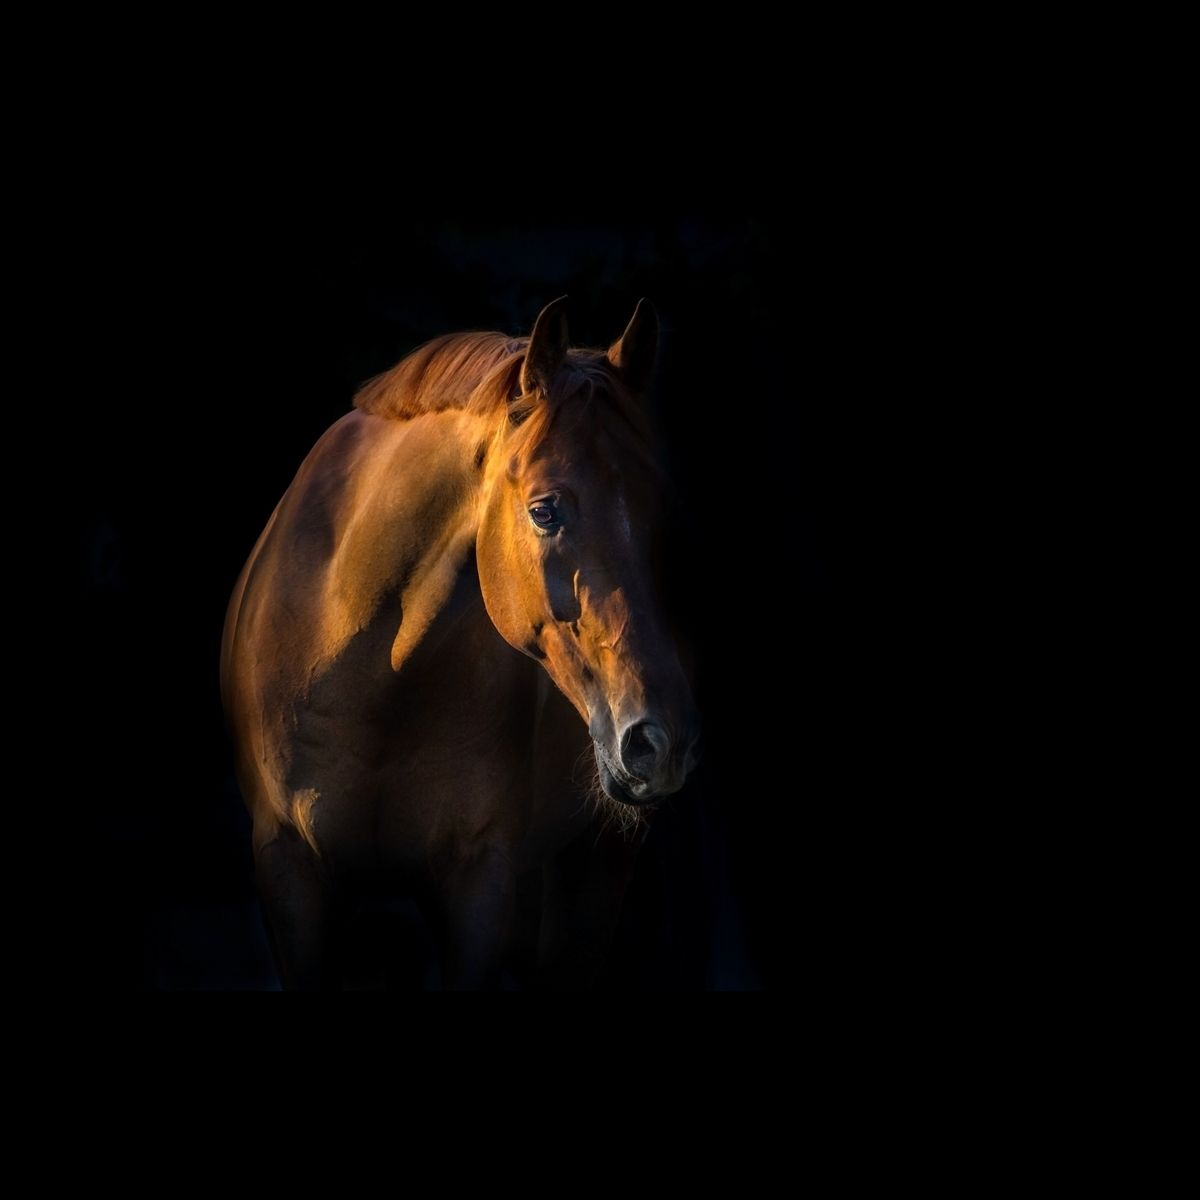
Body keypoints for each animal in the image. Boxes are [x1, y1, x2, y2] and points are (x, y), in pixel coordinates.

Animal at [220, 298, 700, 988]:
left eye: (659, 510)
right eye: (545, 511)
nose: (662, 741)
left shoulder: (478, 885)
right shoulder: (290, 873)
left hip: (596, 862)